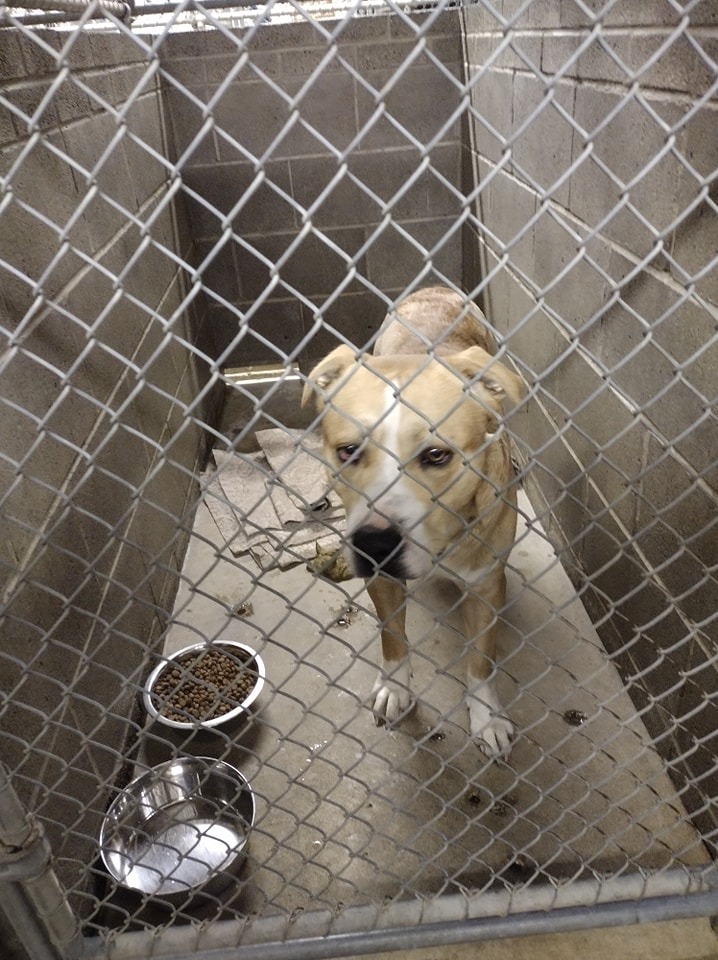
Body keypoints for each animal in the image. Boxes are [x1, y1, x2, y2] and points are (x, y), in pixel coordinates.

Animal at [300, 284, 524, 756]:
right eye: (348, 450)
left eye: (436, 455)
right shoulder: (382, 582)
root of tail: (434, 289)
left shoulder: (485, 587)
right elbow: (392, 637)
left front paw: (486, 716)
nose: (375, 545)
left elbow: (481, 660)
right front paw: (395, 687)